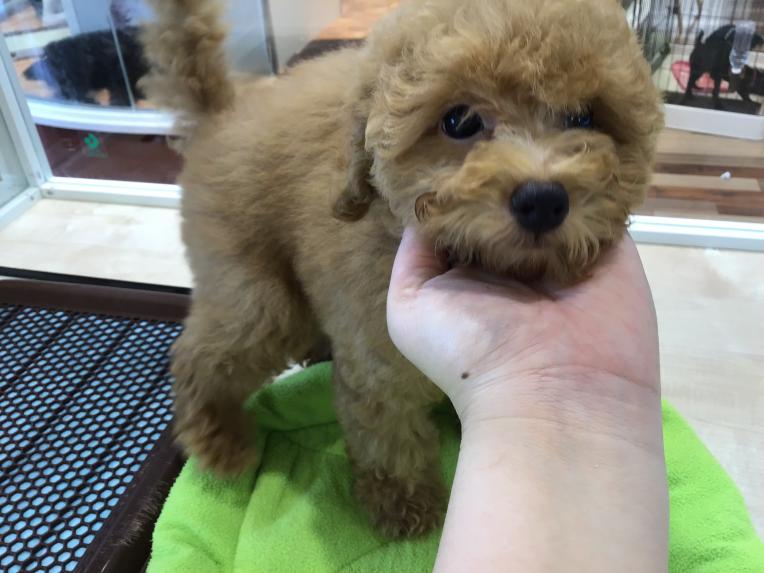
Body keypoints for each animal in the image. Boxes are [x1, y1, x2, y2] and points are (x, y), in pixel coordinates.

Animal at [142, 0, 663, 537]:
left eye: (584, 116)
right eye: (459, 121)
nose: (543, 200)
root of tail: (224, 113)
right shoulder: (378, 366)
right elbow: (387, 434)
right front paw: (405, 506)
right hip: (253, 286)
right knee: (205, 353)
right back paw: (219, 443)